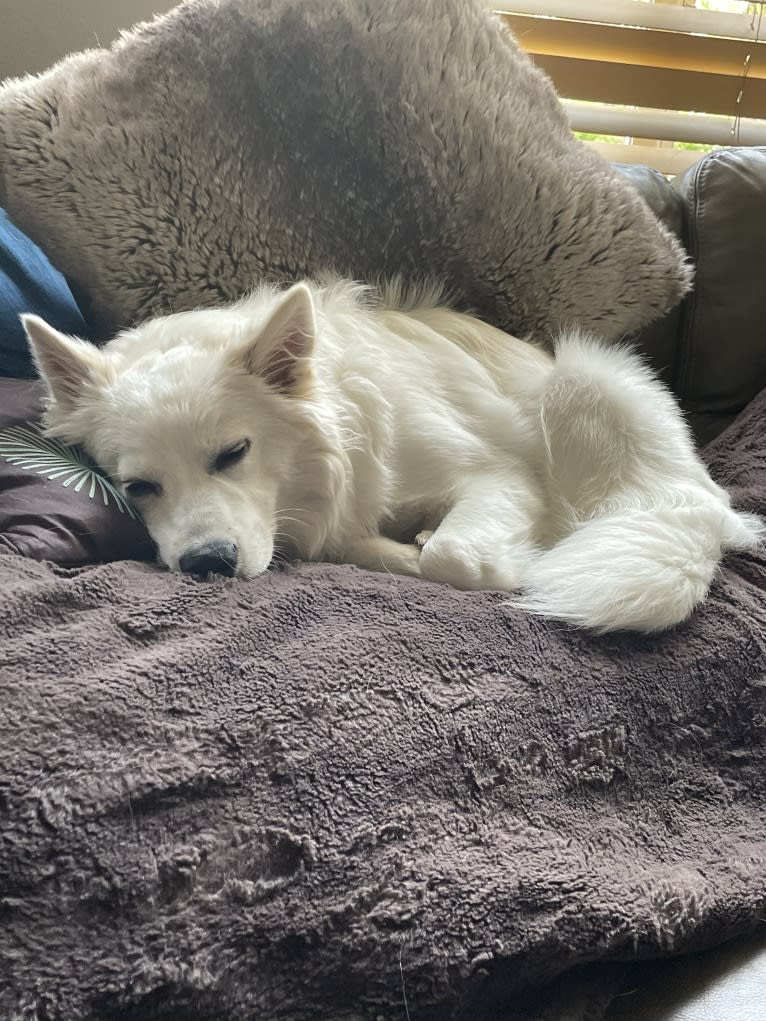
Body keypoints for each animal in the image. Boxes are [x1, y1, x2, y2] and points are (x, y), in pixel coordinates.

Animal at [20, 279, 763, 628]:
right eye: (138, 487)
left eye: (234, 452)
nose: (206, 565)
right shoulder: (333, 526)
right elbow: (370, 546)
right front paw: (404, 546)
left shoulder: (500, 475)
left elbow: (454, 556)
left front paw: (513, 562)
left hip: (583, 384)